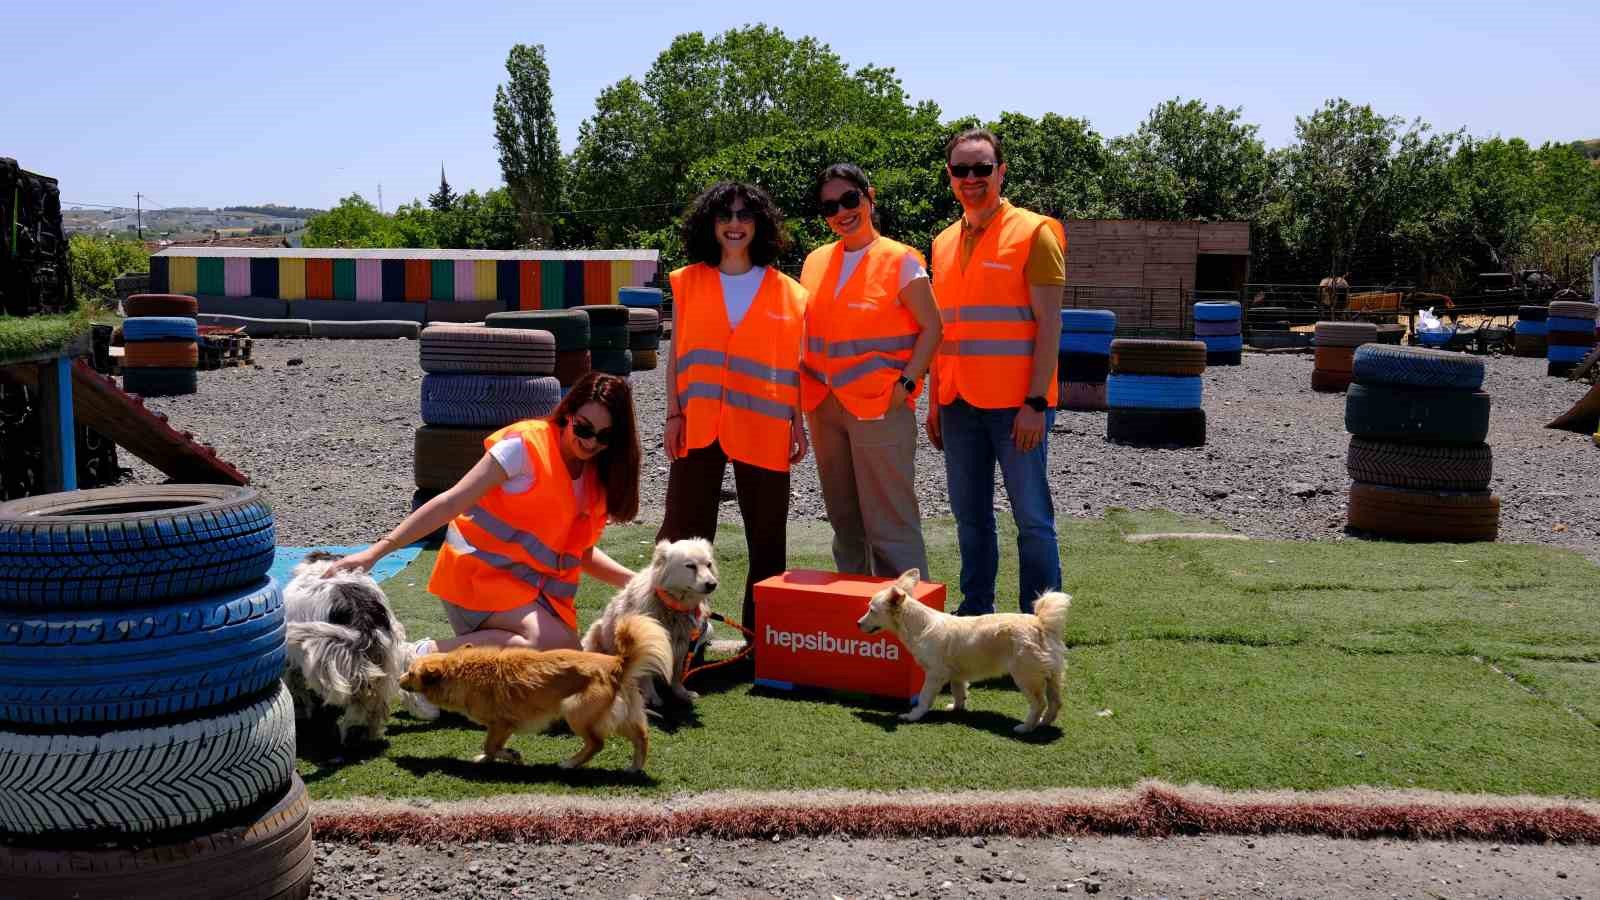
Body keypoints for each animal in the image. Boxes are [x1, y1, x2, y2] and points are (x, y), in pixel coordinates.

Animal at [288, 547, 412, 743]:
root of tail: (364, 620)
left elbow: (295, 684)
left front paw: (301, 709)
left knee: (357, 703)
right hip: (385, 662)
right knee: (376, 705)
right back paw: (370, 733)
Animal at [403, 611, 678, 768]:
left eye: (411, 672)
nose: (398, 679)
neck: (461, 672)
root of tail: (616, 663)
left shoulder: (501, 723)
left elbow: (490, 746)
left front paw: (508, 755)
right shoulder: (501, 726)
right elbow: (490, 748)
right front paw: (491, 759)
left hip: (575, 711)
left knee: (597, 743)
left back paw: (570, 763)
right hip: (622, 716)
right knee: (642, 737)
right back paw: (635, 767)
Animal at [582, 534, 720, 704]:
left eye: (709, 564)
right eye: (690, 566)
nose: (712, 584)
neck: (672, 607)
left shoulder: (681, 644)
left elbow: (677, 673)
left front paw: (682, 692)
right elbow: (647, 676)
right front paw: (652, 697)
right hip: (597, 631)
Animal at [857, 566, 1068, 730]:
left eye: (872, 611)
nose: (858, 624)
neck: (921, 625)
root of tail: (1041, 624)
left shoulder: (935, 674)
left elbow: (924, 697)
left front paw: (913, 716)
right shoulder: (956, 674)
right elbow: (958, 691)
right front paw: (957, 708)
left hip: (1026, 677)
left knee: (1039, 704)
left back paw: (1026, 727)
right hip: (1053, 677)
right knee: (1056, 703)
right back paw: (1043, 723)